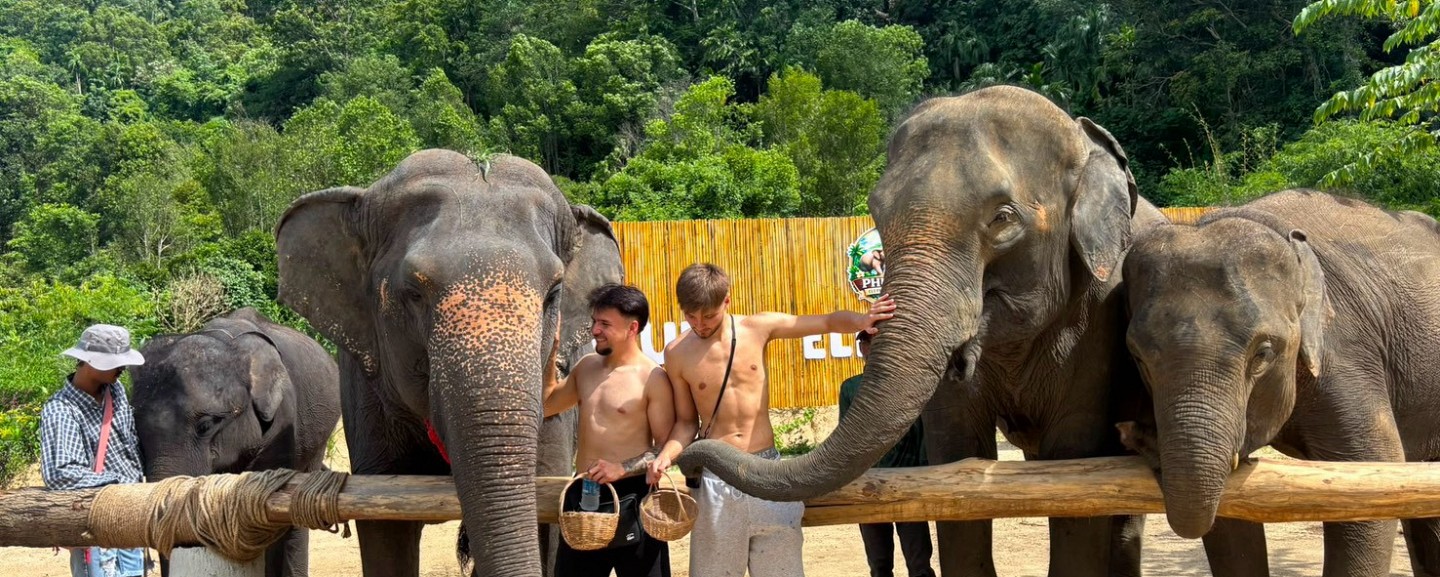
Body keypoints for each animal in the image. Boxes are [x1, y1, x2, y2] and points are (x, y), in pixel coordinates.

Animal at [677, 85, 1167, 577]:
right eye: (876, 210)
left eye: (1003, 218)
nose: (688, 466)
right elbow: (956, 456)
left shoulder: (1096, 317)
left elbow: (1076, 466)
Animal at [1118, 189, 1440, 577]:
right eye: (1137, 356)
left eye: (1263, 353)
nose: (1132, 432)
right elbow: (1227, 516)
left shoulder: (1344, 351)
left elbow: (1374, 471)